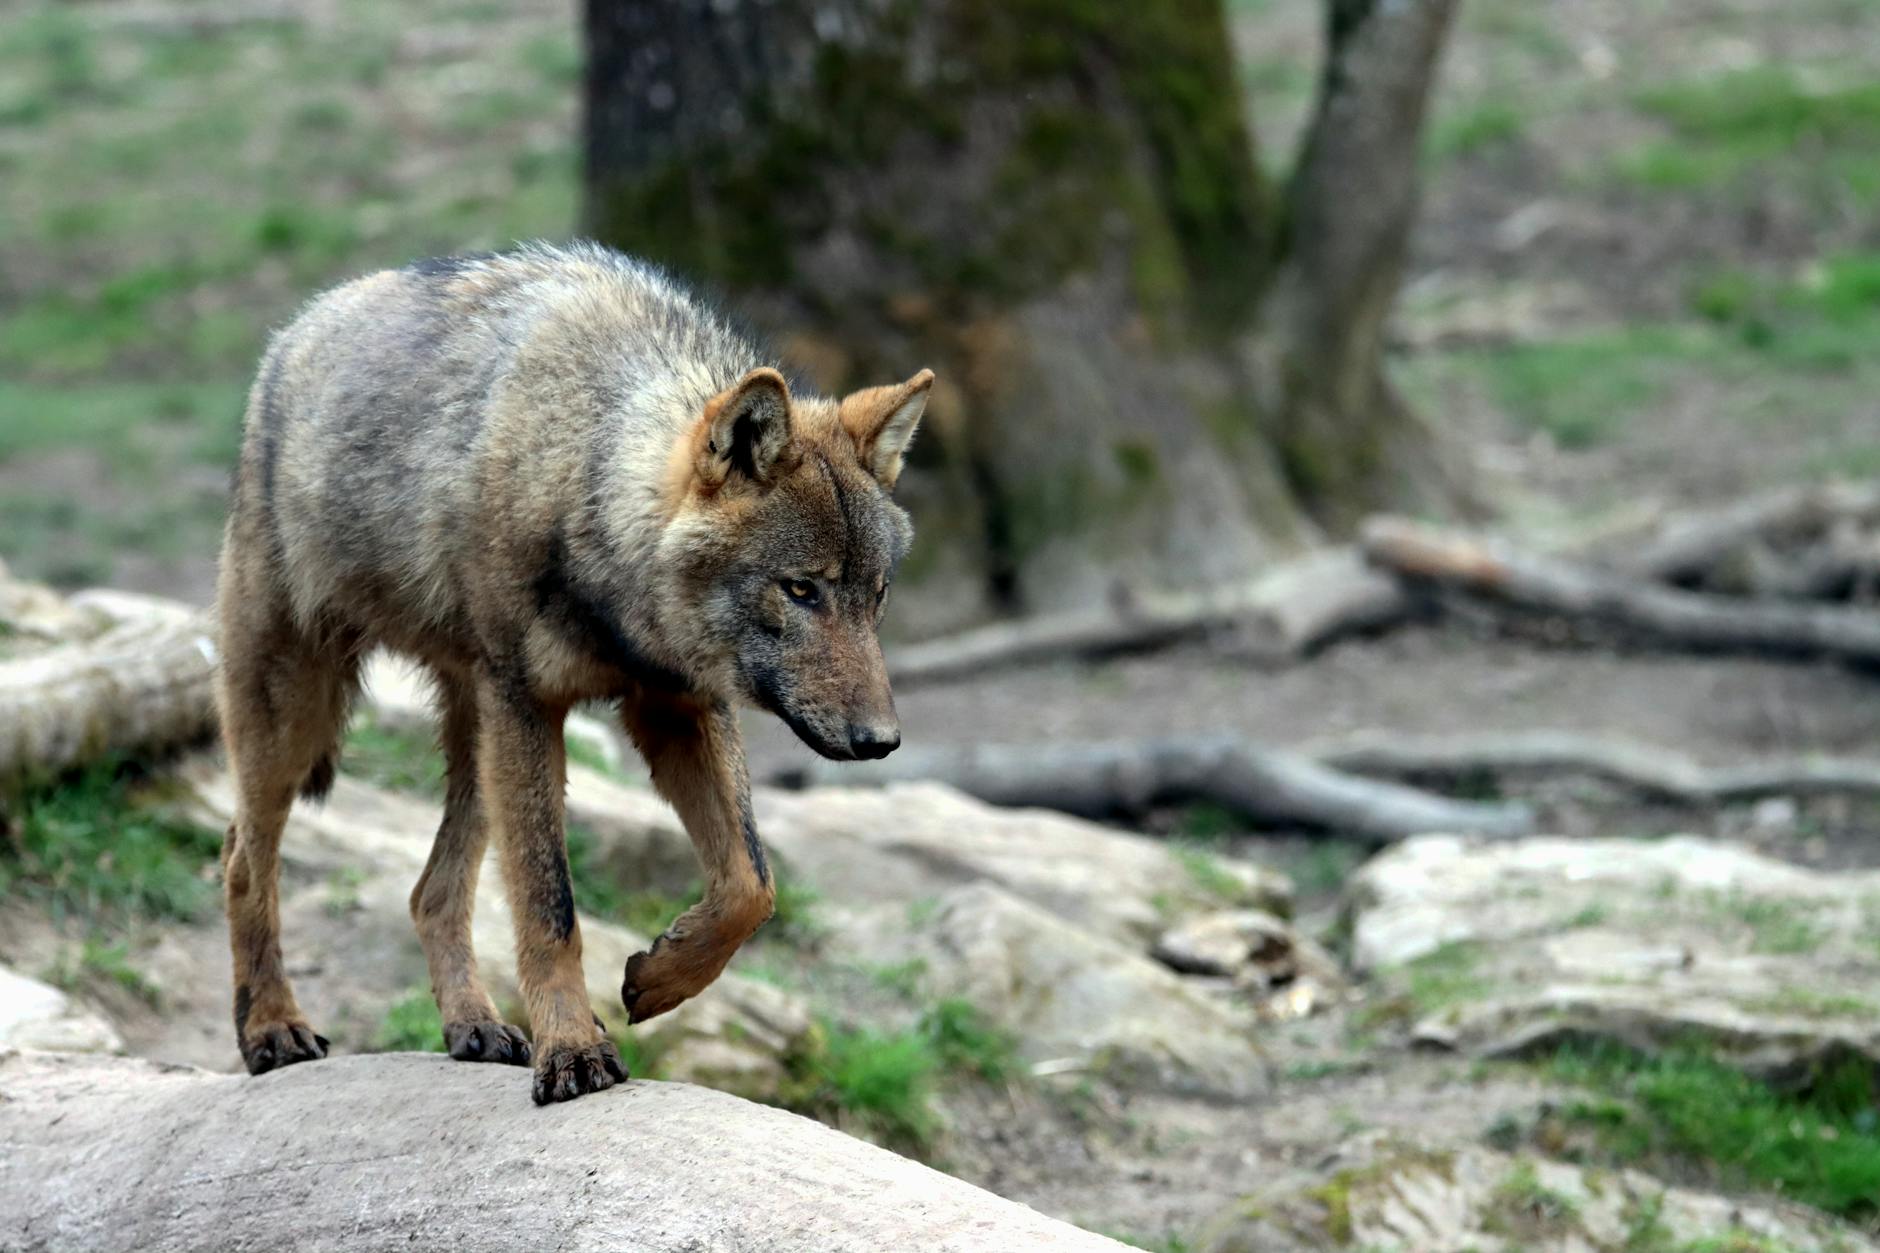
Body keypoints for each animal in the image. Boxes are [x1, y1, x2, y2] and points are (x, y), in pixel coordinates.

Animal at [214, 241, 929, 1103]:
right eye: (800, 589)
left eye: (875, 596)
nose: (882, 740)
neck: (584, 469)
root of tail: (294, 333)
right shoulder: (531, 705)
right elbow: (550, 906)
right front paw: (574, 1049)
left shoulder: (675, 705)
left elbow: (750, 885)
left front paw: (658, 978)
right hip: (305, 714)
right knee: (242, 859)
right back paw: (270, 1028)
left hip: (475, 742)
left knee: (429, 892)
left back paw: (473, 1025)